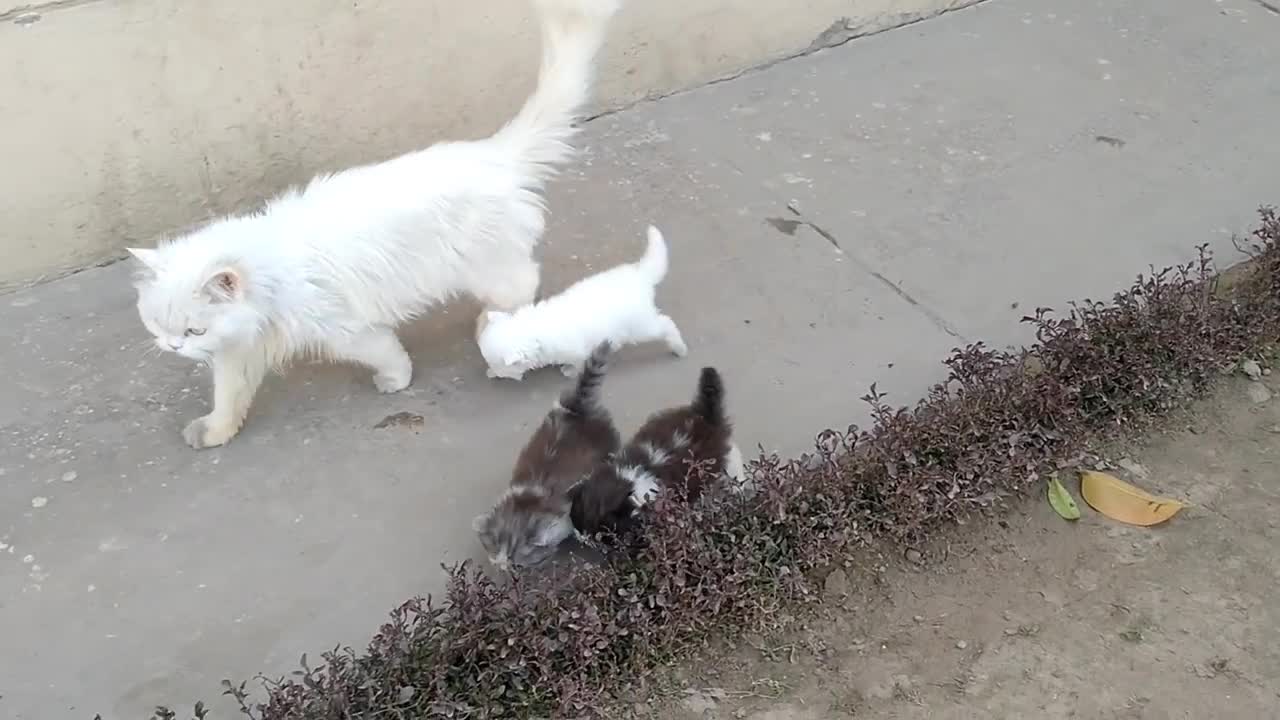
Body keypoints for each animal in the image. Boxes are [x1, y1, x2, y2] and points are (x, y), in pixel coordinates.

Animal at [124, 0, 619, 445]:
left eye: (194, 331)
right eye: (160, 327)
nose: (174, 348)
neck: (268, 284)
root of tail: (493, 153)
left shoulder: (343, 329)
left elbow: (385, 352)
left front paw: (395, 381)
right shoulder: (239, 353)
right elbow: (228, 398)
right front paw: (213, 432)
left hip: (488, 270)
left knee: (523, 284)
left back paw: (491, 326)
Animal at [476, 224, 686, 381]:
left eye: (496, 365)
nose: (490, 373)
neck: (532, 331)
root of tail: (641, 276)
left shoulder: (577, 352)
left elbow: (577, 364)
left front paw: (569, 371)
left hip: (640, 326)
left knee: (666, 324)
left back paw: (679, 347)